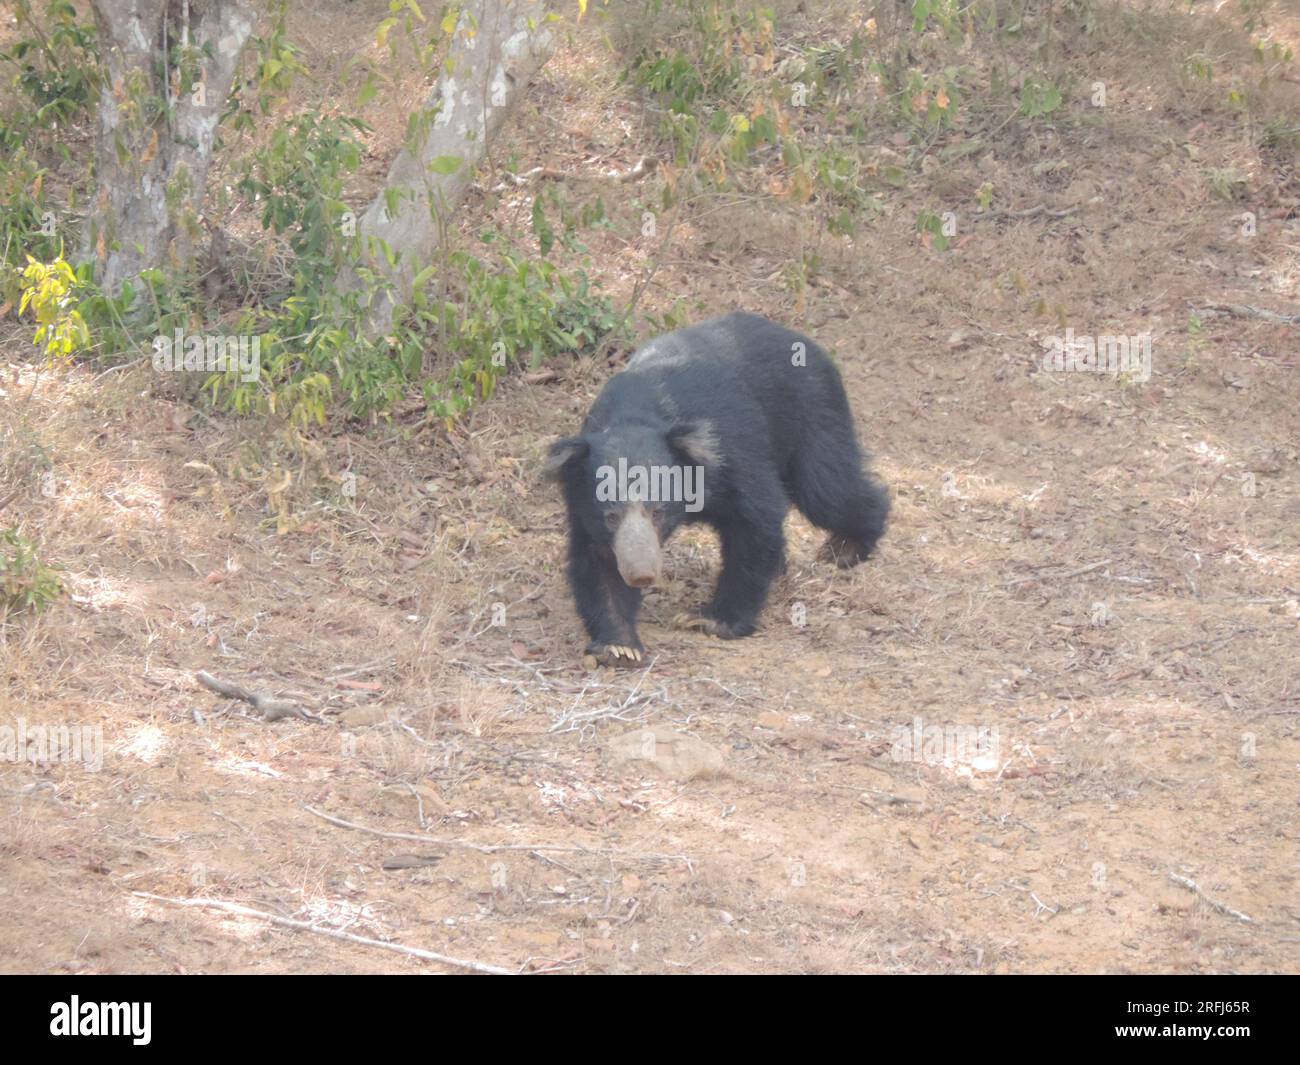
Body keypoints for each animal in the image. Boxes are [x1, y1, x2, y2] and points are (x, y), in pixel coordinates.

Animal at [544, 311, 888, 666]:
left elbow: (755, 519)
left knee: (827, 488)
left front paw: (710, 619)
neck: (637, 413)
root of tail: (805, 341)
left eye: (658, 512)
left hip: (814, 411)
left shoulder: (729, 452)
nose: (642, 574)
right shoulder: (583, 502)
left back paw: (846, 546)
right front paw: (619, 645)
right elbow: (597, 560)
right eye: (611, 516)